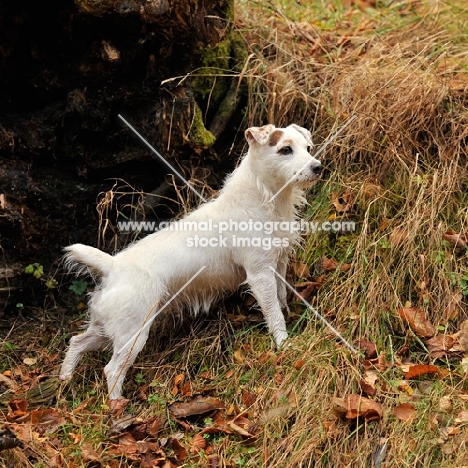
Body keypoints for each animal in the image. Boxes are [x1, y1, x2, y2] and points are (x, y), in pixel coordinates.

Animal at [59, 124, 322, 398]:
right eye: (285, 149)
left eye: (308, 147)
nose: (318, 167)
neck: (263, 197)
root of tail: (112, 266)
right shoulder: (259, 274)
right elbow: (273, 313)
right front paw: (284, 344)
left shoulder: (277, 265)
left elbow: (281, 298)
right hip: (132, 333)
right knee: (111, 370)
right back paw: (117, 403)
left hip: (106, 326)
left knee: (77, 341)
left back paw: (65, 377)